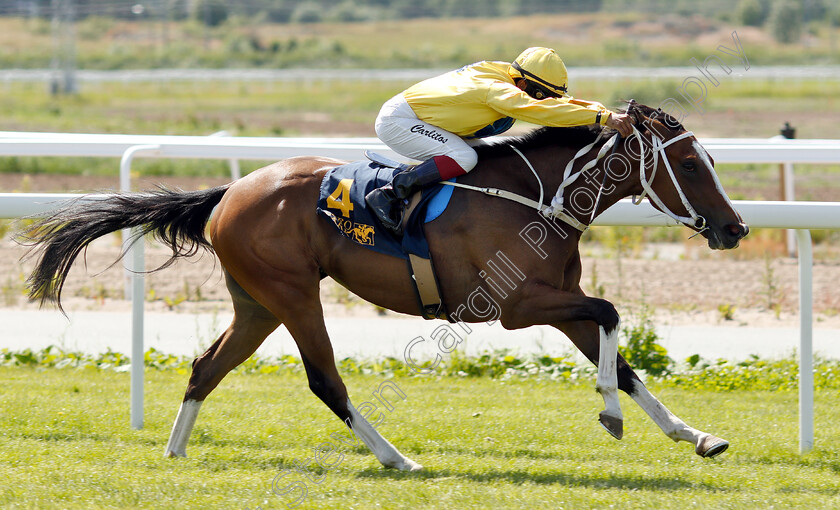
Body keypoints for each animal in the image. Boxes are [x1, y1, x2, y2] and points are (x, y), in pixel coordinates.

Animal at [19, 102, 748, 470]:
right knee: (325, 381)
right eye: (689, 164)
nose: (734, 227)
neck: (538, 195)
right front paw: (611, 414)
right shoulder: (517, 306)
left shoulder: (555, 303)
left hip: (257, 302)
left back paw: (174, 451)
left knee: (206, 367)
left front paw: (695, 435)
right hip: (294, 294)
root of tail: (228, 193)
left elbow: (619, 355)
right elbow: (611, 313)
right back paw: (398, 458)